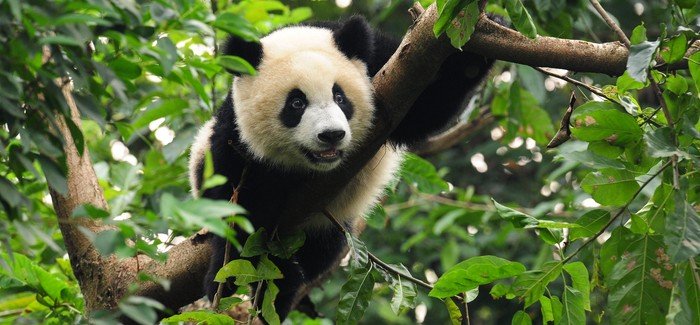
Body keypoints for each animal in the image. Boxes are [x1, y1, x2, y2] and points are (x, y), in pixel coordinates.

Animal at [189, 15, 494, 318]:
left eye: (339, 97)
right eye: (296, 103)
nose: (331, 135)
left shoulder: (385, 65)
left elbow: (424, 109)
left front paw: (478, 43)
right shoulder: (235, 138)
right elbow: (239, 208)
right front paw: (237, 277)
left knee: (321, 252)